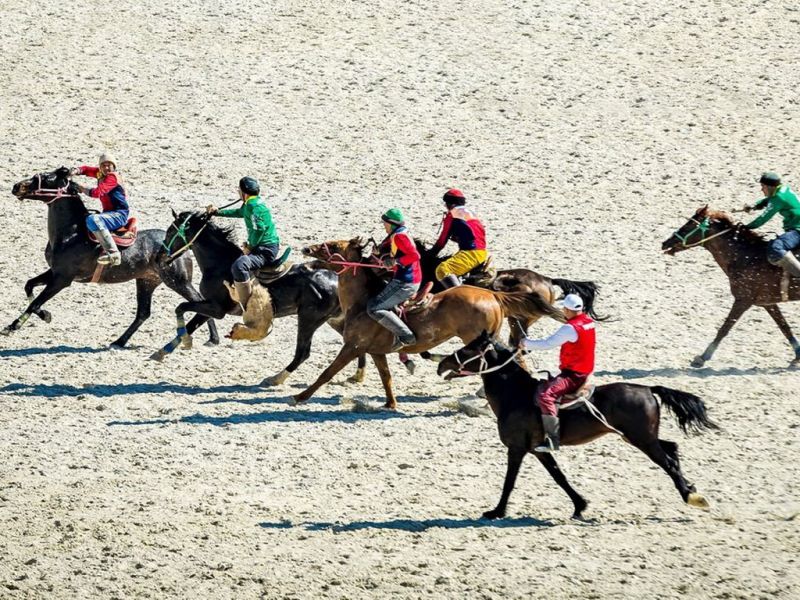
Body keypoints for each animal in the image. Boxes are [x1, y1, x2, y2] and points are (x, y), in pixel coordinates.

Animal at [7, 168, 219, 346]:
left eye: (44, 177)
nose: (16, 186)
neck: (71, 233)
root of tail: (184, 246)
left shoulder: (62, 279)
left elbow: (36, 301)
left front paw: (15, 325)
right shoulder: (54, 272)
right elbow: (29, 287)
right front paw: (41, 316)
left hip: (178, 282)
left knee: (200, 302)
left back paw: (213, 339)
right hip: (147, 281)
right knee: (143, 313)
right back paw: (119, 341)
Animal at [152, 211, 368, 386]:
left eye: (170, 232)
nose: (158, 256)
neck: (220, 264)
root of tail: (336, 279)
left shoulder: (216, 308)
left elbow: (181, 307)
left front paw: (185, 342)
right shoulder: (208, 307)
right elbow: (190, 322)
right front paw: (162, 352)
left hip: (308, 319)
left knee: (303, 353)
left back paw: (274, 379)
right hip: (335, 320)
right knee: (356, 343)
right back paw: (358, 375)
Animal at [294, 238, 564, 408]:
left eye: (333, 245)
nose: (306, 249)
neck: (362, 301)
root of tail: (493, 294)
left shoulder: (352, 347)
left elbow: (327, 372)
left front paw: (300, 396)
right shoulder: (376, 351)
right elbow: (386, 377)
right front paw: (391, 403)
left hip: (482, 338)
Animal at [434, 332, 716, 520]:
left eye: (468, 349)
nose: (440, 365)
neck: (515, 395)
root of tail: (647, 388)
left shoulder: (516, 449)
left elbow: (509, 481)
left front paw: (497, 511)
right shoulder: (538, 450)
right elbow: (559, 476)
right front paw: (580, 505)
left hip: (642, 440)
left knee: (667, 461)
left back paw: (691, 496)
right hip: (640, 437)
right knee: (672, 449)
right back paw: (690, 488)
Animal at [664, 205, 800, 366]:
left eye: (688, 225)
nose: (665, 243)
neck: (745, 256)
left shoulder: (743, 300)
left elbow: (725, 327)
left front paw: (703, 357)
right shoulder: (768, 303)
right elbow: (784, 327)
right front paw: (797, 356)